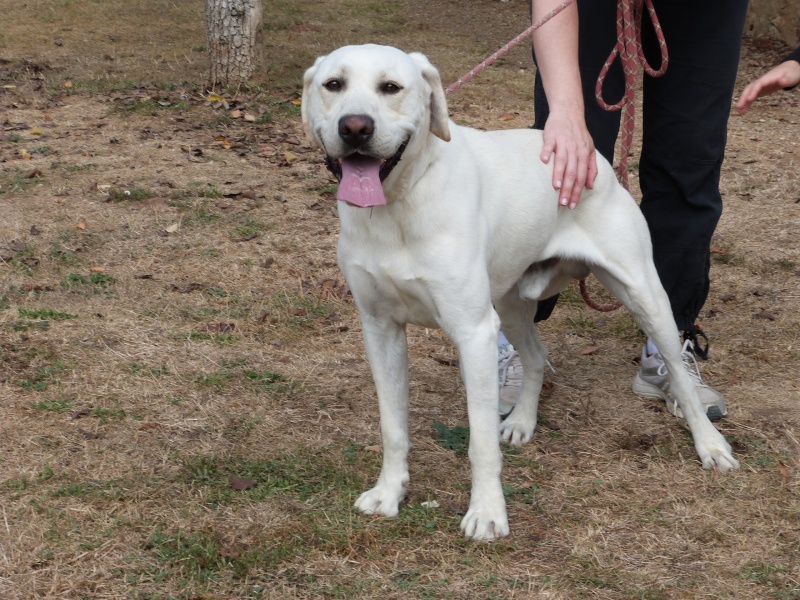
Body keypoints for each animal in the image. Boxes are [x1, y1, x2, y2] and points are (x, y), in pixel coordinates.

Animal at [302, 42, 736, 540]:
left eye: (390, 87)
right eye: (333, 84)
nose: (354, 127)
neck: (397, 207)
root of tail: (593, 156)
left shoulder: (473, 332)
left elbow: (479, 442)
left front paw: (487, 513)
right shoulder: (380, 329)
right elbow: (393, 427)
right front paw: (390, 492)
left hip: (645, 296)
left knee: (677, 371)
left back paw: (710, 444)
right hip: (509, 304)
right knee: (535, 356)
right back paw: (523, 421)